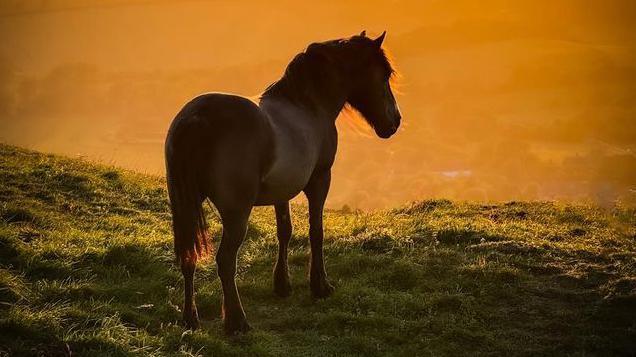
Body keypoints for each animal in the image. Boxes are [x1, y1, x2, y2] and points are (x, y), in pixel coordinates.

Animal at [165, 30, 402, 334]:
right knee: (225, 261)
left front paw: (282, 284)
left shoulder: (282, 192)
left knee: (188, 256)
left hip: (185, 207)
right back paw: (237, 321)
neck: (307, 106)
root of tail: (196, 118)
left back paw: (190, 317)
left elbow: (285, 231)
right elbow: (316, 231)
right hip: (236, 213)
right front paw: (320, 286)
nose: (395, 121)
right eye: (384, 75)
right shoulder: (320, 180)